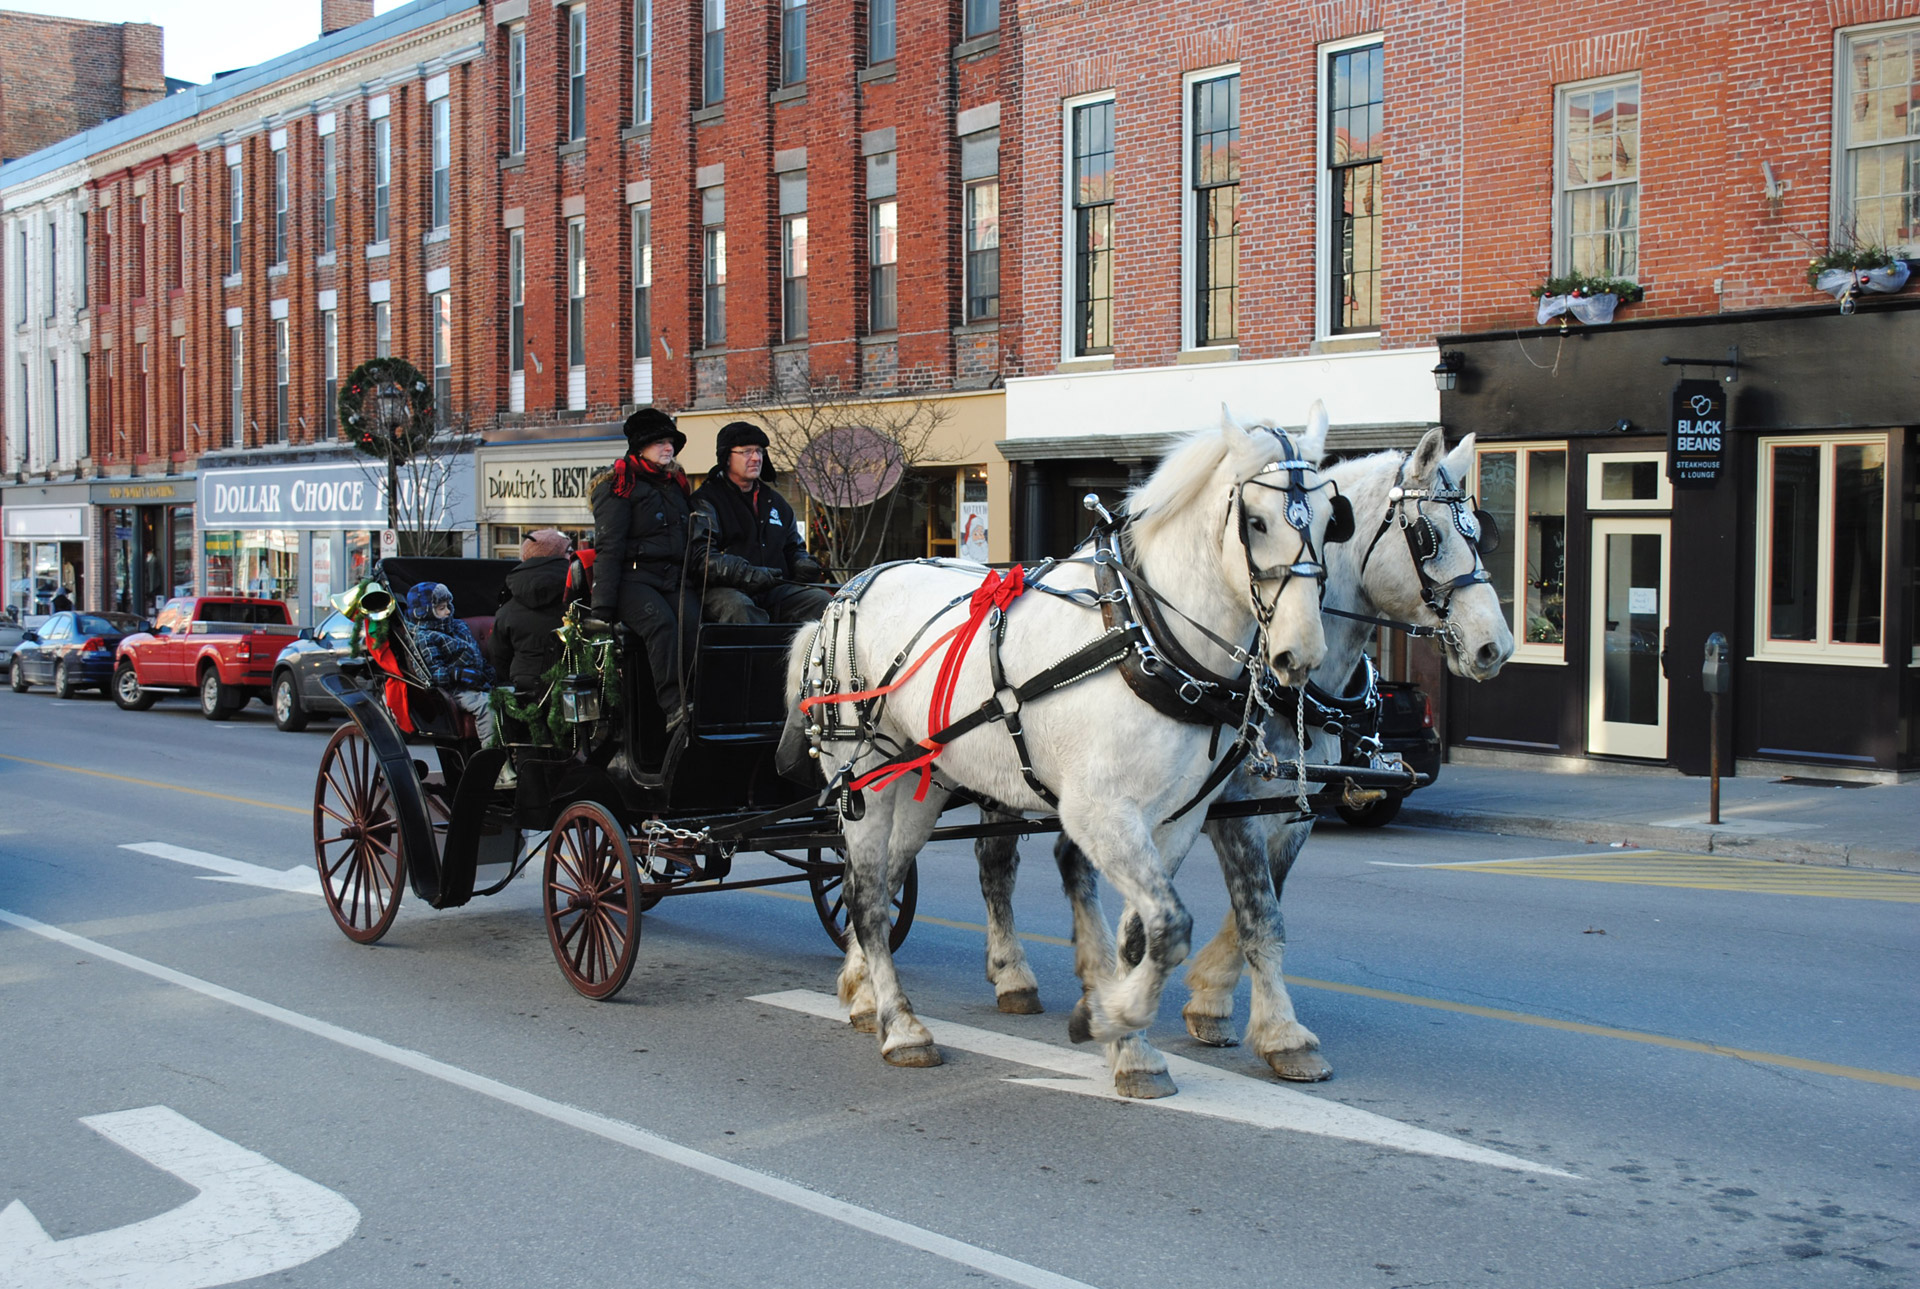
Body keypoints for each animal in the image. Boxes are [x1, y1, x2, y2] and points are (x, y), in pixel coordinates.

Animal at [787, 409, 1344, 1091]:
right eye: (1257, 521)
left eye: (1331, 521)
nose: (1300, 654)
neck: (1142, 634)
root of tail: (845, 591)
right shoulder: (1099, 812)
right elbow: (1171, 925)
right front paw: (1109, 1020)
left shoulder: (1177, 818)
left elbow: (1144, 936)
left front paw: (1129, 1044)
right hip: (863, 776)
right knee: (865, 899)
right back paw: (902, 1027)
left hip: (923, 781)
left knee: (881, 883)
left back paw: (864, 993)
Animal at [975, 428, 1512, 1083]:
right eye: (1428, 536)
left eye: (1478, 532)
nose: (1494, 646)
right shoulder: (1234, 812)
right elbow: (1260, 916)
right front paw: (1281, 1034)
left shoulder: (1287, 812)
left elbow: (1259, 907)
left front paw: (1202, 1001)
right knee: (996, 862)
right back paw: (1014, 975)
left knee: (1071, 860)